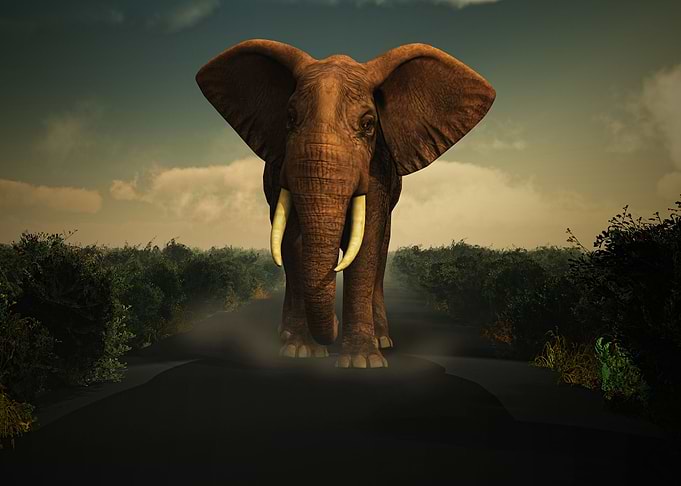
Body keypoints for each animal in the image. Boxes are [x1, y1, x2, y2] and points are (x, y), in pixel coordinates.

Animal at [196, 39, 495, 368]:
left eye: (368, 124)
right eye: (289, 119)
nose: (334, 327)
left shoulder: (377, 169)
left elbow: (366, 246)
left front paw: (363, 362)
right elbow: (293, 242)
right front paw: (300, 351)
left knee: (381, 251)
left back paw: (382, 340)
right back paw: (286, 335)